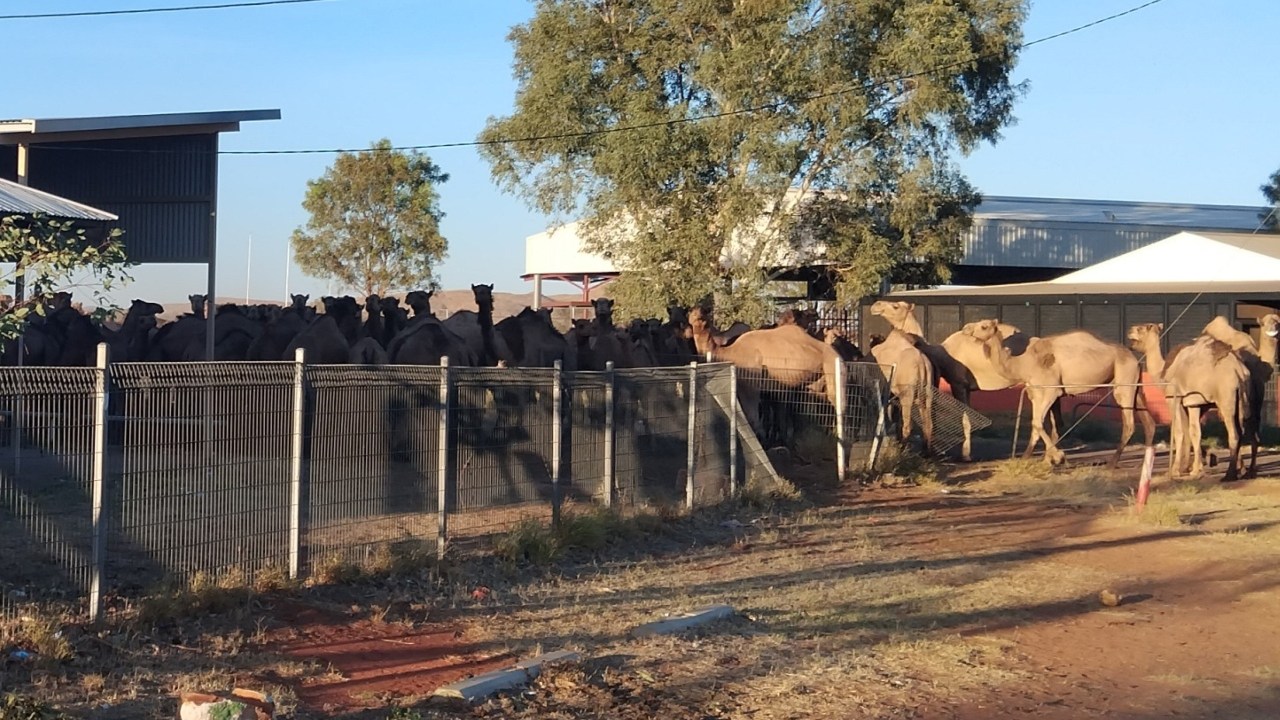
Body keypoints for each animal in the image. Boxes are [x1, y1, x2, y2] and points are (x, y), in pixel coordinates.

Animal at [967, 319, 1154, 467]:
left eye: (984, 326)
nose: (966, 328)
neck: (1023, 363)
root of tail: (1134, 359)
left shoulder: (1050, 390)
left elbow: (1038, 423)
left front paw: (1058, 457)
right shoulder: (1036, 393)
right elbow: (1042, 425)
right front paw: (1033, 459)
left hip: (1124, 381)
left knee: (1129, 423)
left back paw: (1112, 463)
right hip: (1134, 385)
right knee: (1148, 422)